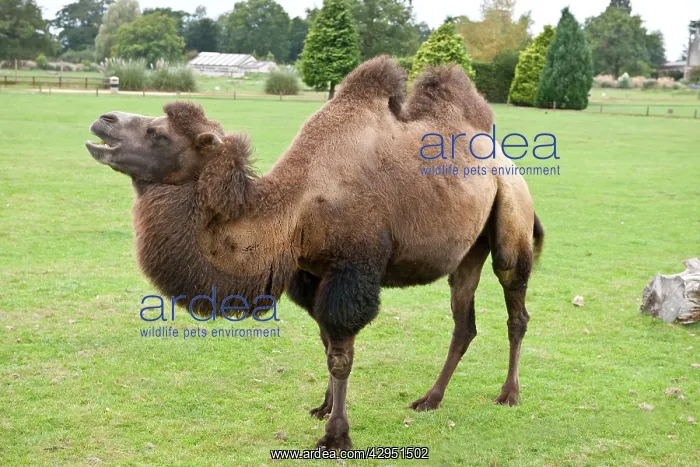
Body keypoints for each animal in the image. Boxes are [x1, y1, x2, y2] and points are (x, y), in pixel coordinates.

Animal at [85, 56, 544, 450]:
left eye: (159, 135)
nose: (105, 120)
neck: (295, 207)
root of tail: (502, 157)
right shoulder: (312, 273)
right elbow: (326, 346)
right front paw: (323, 408)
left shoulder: (352, 270)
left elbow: (340, 356)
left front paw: (336, 435)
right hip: (467, 251)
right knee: (463, 321)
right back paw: (430, 399)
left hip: (511, 213)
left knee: (515, 303)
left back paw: (509, 394)